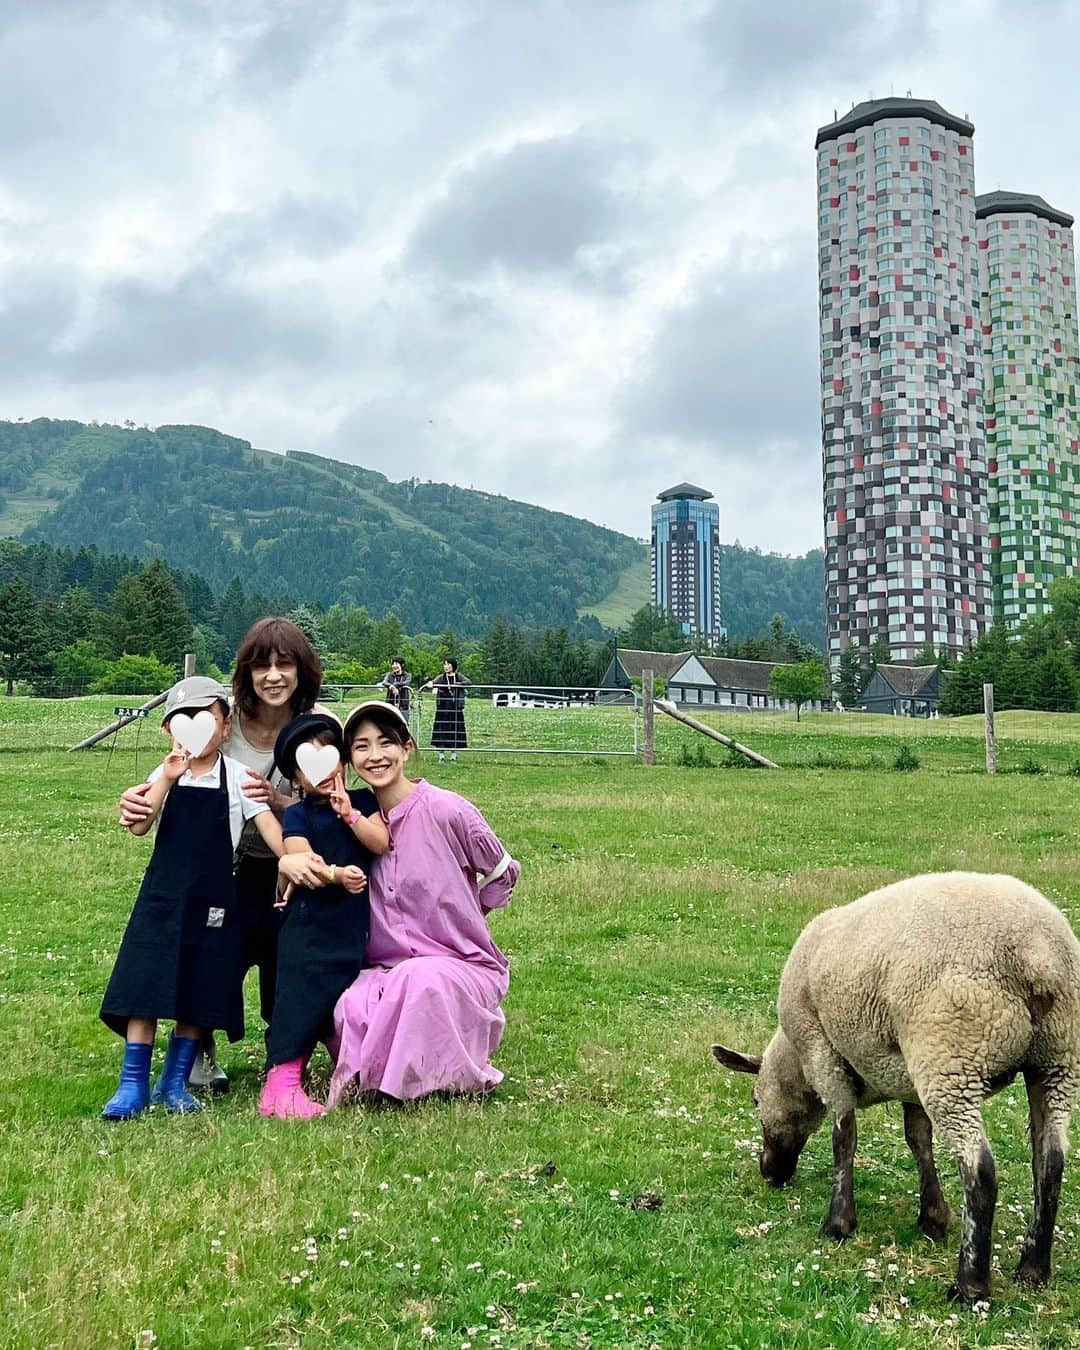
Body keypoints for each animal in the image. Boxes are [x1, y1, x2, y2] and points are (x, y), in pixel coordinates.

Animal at [718, 869, 1080, 1301]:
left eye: (755, 1100)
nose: (769, 1172)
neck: (795, 1061)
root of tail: (1037, 954)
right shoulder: (907, 1076)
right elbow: (918, 1139)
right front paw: (933, 1217)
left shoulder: (823, 1054)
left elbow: (844, 1137)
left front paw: (839, 1223)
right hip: (1055, 1058)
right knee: (1050, 1160)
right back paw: (1033, 1269)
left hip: (949, 1054)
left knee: (979, 1170)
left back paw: (970, 1285)